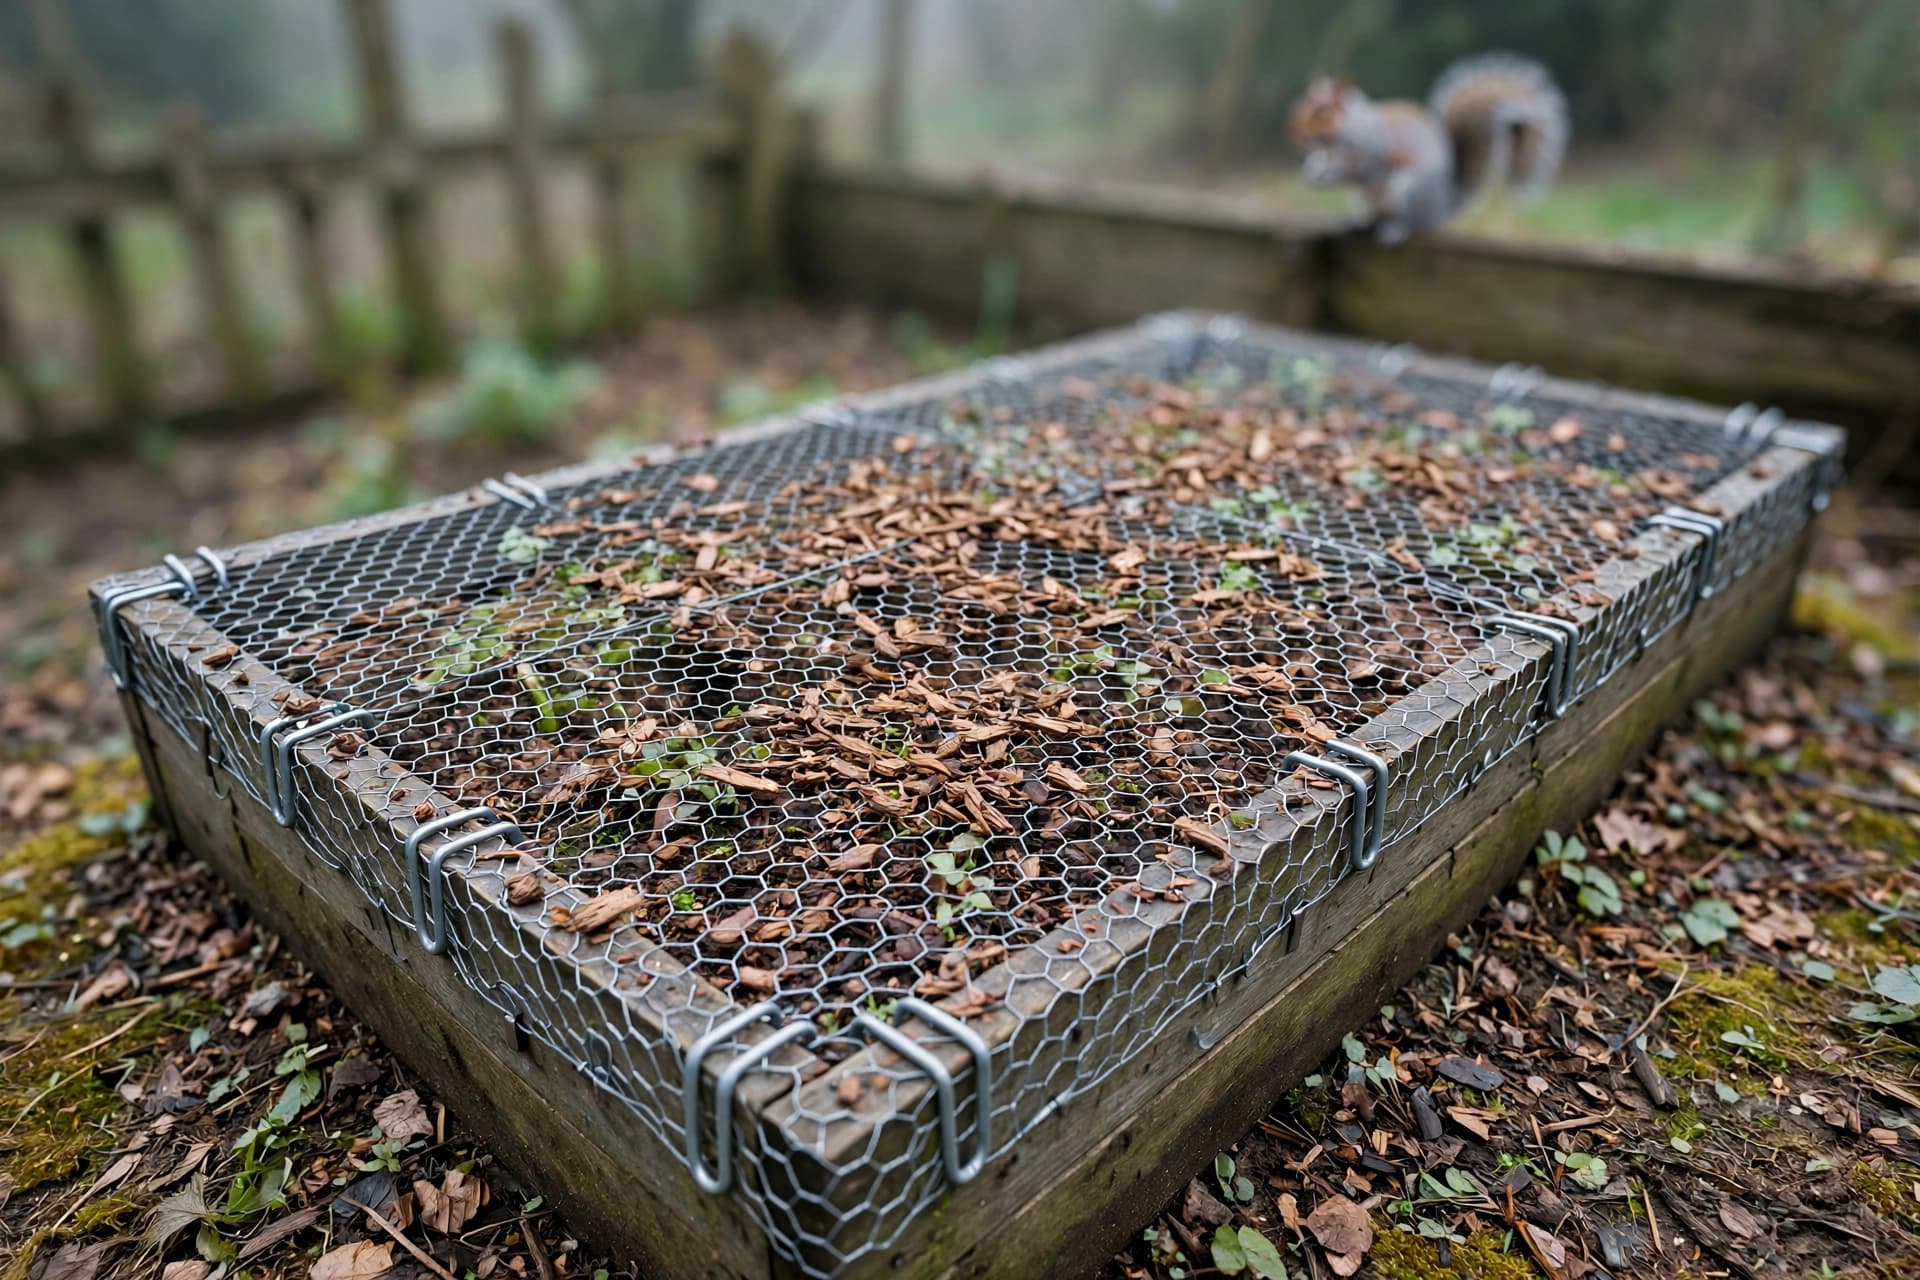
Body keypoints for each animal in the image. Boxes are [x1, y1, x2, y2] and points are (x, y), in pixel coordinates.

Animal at [1289, 53, 1568, 243]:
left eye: (1323, 114)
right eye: (1301, 104)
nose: (1296, 134)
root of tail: (1445, 204)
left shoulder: (1373, 149)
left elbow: (1364, 170)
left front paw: (1330, 175)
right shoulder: (1326, 153)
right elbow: (1319, 162)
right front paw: (1312, 171)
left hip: (1412, 191)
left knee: (1416, 224)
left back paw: (1396, 230)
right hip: (1366, 199)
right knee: (1377, 216)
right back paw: (1360, 222)